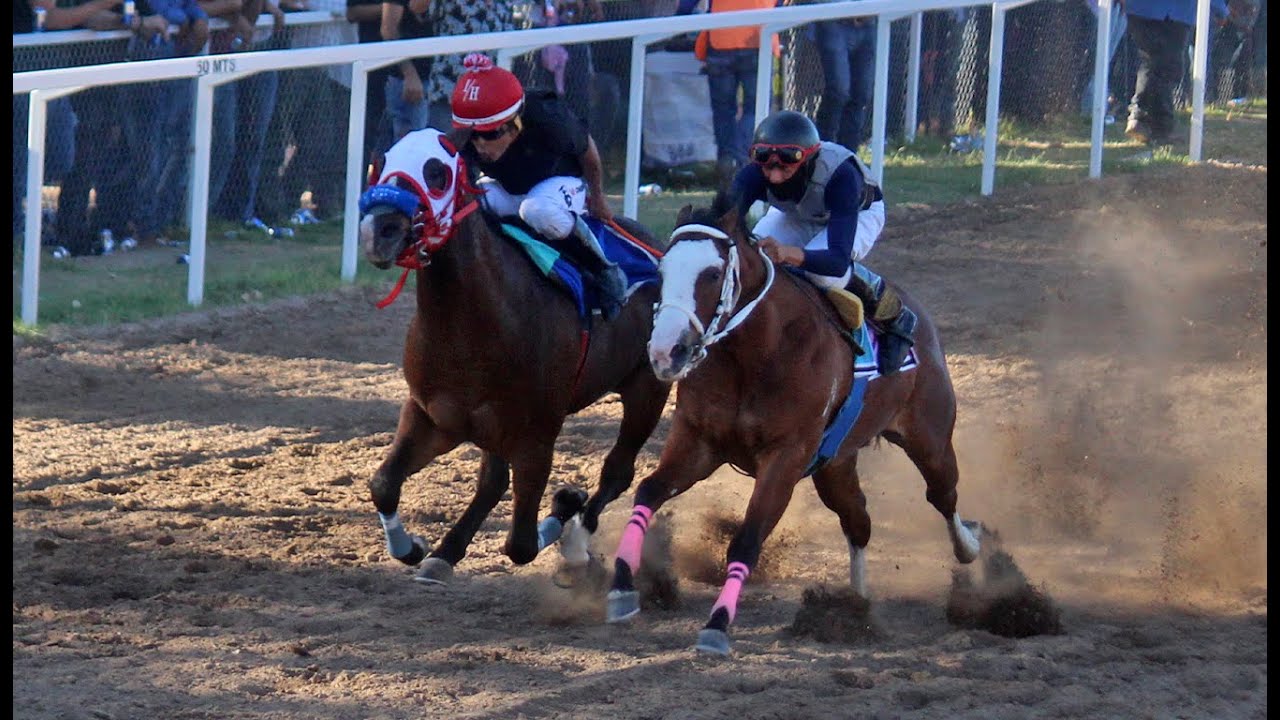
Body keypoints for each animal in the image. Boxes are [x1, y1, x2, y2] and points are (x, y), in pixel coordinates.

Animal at [357, 127, 671, 586]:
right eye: (378, 163)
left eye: (437, 173)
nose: (379, 229)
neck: (472, 319)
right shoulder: (433, 416)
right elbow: (383, 484)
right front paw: (413, 547)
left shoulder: (536, 434)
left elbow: (520, 544)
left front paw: (566, 506)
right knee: (493, 481)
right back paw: (445, 553)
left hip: (646, 387)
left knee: (617, 471)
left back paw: (577, 539)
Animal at [603, 194, 983, 655]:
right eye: (660, 272)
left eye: (712, 274)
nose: (664, 352)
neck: (756, 353)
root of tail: (920, 318)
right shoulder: (699, 442)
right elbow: (648, 492)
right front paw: (622, 588)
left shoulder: (785, 457)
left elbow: (748, 538)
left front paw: (717, 625)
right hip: (835, 464)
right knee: (858, 520)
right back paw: (856, 606)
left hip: (929, 435)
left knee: (942, 494)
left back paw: (969, 547)